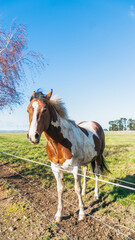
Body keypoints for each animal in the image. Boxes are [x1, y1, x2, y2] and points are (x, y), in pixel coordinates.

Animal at [26, 90, 109, 223]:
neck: (60, 141)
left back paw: (96, 194)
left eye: (44, 109)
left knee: (96, 173)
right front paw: (58, 215)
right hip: (84, 161)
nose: (33, 136)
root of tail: (95, 124)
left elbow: (77, 189)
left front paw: (82, 214)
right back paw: (85, 192)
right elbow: (60, 189)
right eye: (28, 110)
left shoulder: (75, 167)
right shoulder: (55, 168)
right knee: (85, 171)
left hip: (98, 157)